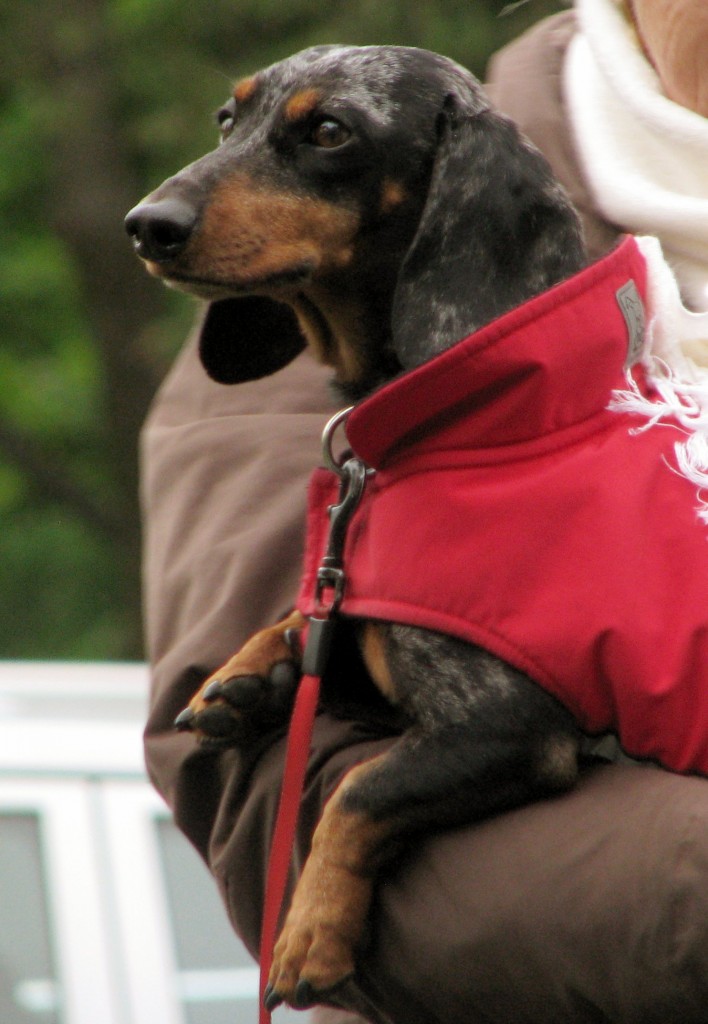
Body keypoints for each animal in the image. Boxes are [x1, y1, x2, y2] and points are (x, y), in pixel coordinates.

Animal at [124, 46, 590, 1007]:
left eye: (331, 130)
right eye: (227, 120)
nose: (148, 225)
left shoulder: (511, 728)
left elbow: (361, 791)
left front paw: (310, 930)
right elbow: (316, 616)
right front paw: (253, 673)